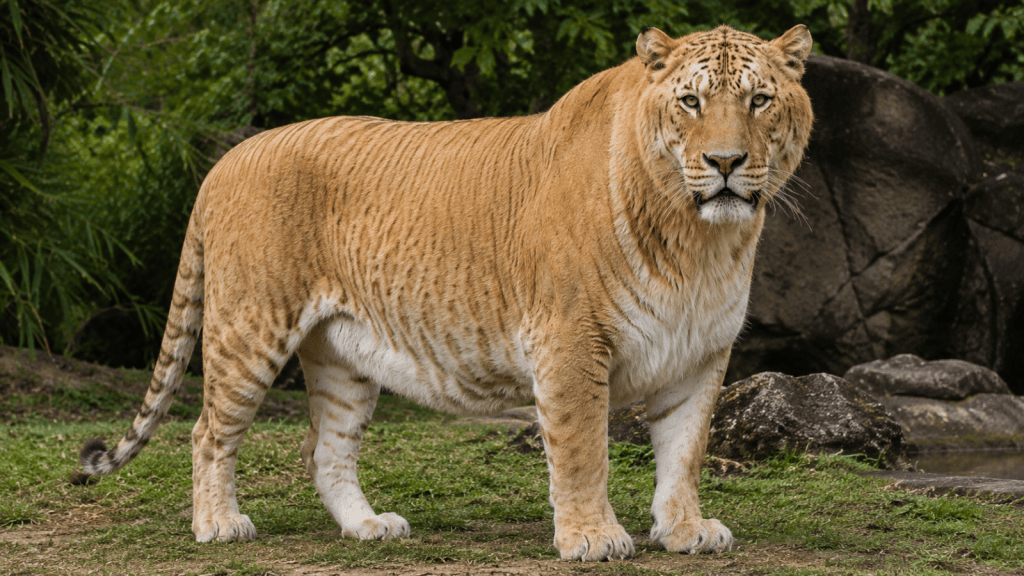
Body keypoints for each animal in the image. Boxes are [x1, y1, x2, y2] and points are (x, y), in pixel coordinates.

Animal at [79, 24, 814, 561]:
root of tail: (225, 161)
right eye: (691, 102)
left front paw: (685, 531)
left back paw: (368, 527)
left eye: (758, 100)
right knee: (208, 431)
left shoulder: (701, 353)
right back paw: (218, 524)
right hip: (249, 327)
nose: (725, 163)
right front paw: (592, 538)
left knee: (325, 450)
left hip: (341, 354)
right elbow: (582, 448)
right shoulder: (569, 339)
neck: (699, 243)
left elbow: (685, 452)